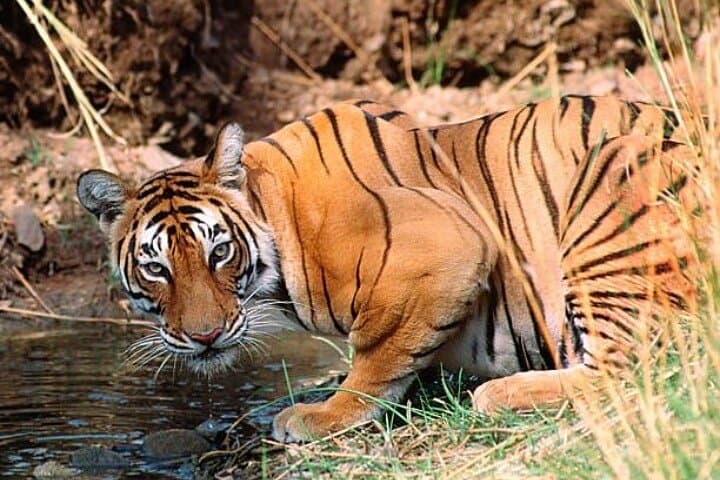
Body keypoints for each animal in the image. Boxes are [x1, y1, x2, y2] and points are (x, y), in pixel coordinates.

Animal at [76, 95, 702, 443]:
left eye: (219, 252)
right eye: (157, 269)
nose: (204, 337)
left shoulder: (448, 247)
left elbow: (376, 354)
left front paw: (324, 415)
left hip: (614, 169)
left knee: (634, 368)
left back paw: (496, 394)